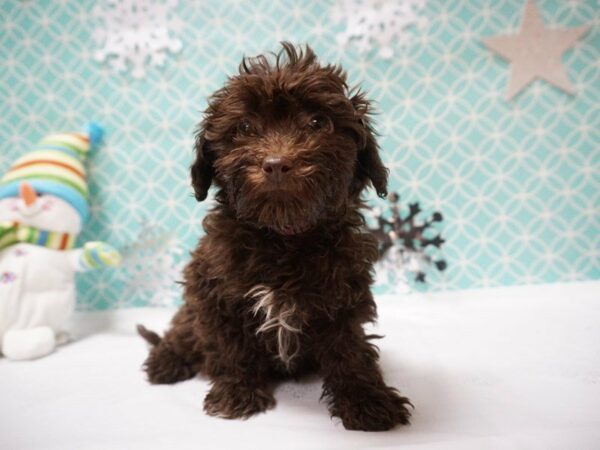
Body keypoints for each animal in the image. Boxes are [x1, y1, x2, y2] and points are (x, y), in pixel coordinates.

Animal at [139, 43, 412, 432]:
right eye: (244, 127)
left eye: (318, 122)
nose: (277, 163)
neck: (283, 235)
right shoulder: (214, 292)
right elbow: (231, 348)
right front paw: (237, 394)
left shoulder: (344, 295)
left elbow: (350, 351)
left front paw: (368, 401)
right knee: (183, 328)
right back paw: (166, 360)